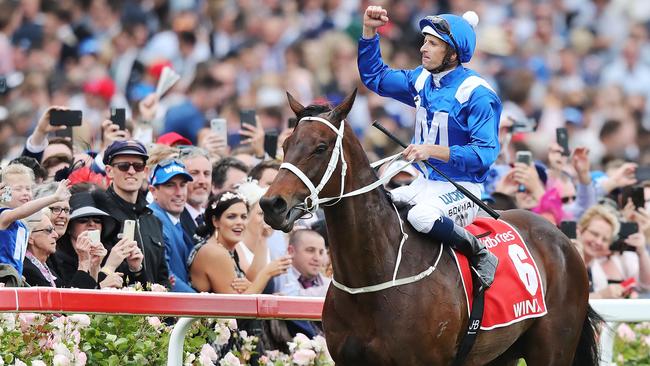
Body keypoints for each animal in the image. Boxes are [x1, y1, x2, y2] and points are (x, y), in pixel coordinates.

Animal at [258, 89, 596, 366]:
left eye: (320, 147)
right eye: (286, 143)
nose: (272, 204)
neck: (372, 278)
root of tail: (561, 239)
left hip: (552, 348)